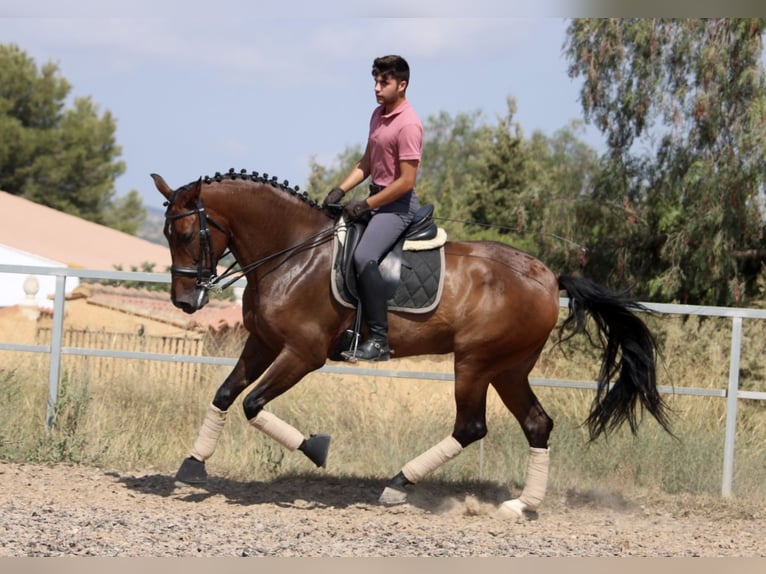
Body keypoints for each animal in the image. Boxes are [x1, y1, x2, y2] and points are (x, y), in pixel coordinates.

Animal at [152, 168, 672, 520]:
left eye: (186, 233)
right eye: (167, 232)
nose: (184, 301)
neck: (293, 253)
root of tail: (547, 276)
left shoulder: (302, 354)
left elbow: (253, 403)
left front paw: (317, 449)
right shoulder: (262, 343)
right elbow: (225, 394)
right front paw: (192, 466)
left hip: (475, 363)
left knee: (471, 427)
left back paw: (400, 484)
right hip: (508, 368)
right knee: (536, 424)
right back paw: (521, 505)